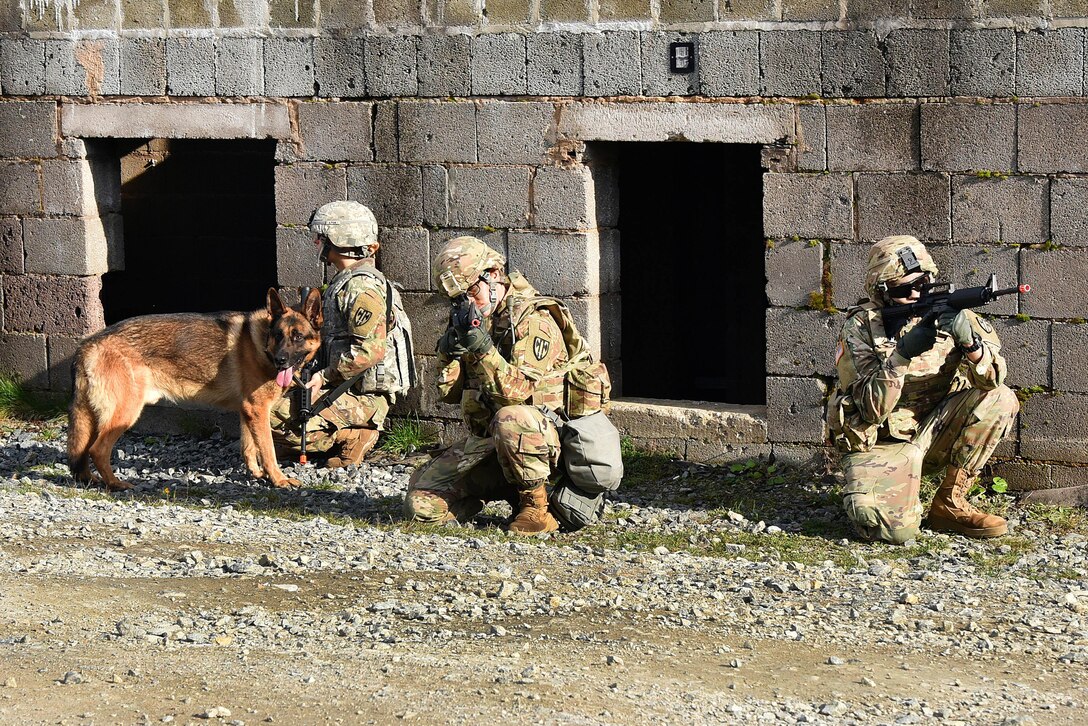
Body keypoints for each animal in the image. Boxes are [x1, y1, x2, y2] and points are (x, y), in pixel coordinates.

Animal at [67, 287, 319, 491]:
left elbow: (248, 447)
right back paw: (116, 484)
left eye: (298, 337)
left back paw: (90, 479)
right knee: (98, 450)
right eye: (278, 336)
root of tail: (88, 344)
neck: (262, 344)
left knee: (82, 451)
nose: (280, 361)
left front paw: (257, 474)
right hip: (125, 413)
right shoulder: (257, 410)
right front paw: (278, 479)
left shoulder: (248, 411)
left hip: (95, 417)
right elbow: (267, 450)